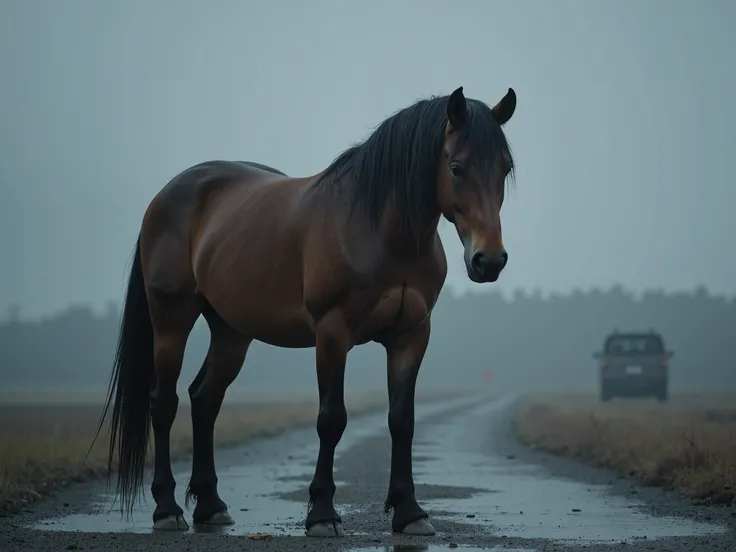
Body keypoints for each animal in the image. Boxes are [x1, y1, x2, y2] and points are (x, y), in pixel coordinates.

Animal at [92, 84, 516, 536]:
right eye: (456, 167)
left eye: (505, 169)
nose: (489, 260)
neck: (383, 232)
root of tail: (167, 195)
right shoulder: (332, 332)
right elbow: (331, 419)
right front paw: (322, 513)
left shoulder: (411, 336)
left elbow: (402, 421)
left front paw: (410, 512)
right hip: (171, 321)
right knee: (164, 402)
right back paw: (167, 509)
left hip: (231, 331)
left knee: (205, 399)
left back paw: (211, 506)